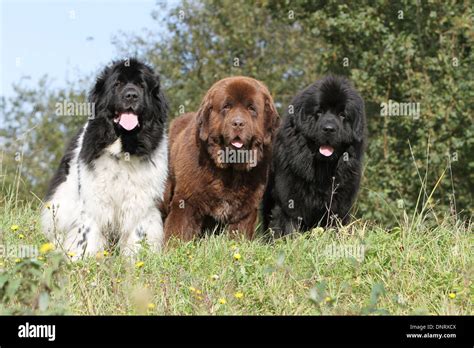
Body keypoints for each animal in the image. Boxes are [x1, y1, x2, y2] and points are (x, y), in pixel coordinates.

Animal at [41, 58, 169, 256]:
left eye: (141, 85)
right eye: (117, 84)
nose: (131, 95)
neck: (125, 147)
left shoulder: (141, 201)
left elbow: (138, 232)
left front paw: (136, 258)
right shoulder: (93, 200)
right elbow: (86, 232)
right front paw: (82, 257)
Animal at [165, 76, 280, 241]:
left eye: (251, 108)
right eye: (226, 107)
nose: (238, 123)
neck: (230, 171)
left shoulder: (245, 210)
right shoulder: (187, 201)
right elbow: (178, 231)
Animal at [262, 75, 366, 235]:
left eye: (342, 115)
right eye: (319, 112)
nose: (329, 129)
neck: (322, 167)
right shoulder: (289, 200)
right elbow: (289, 224)